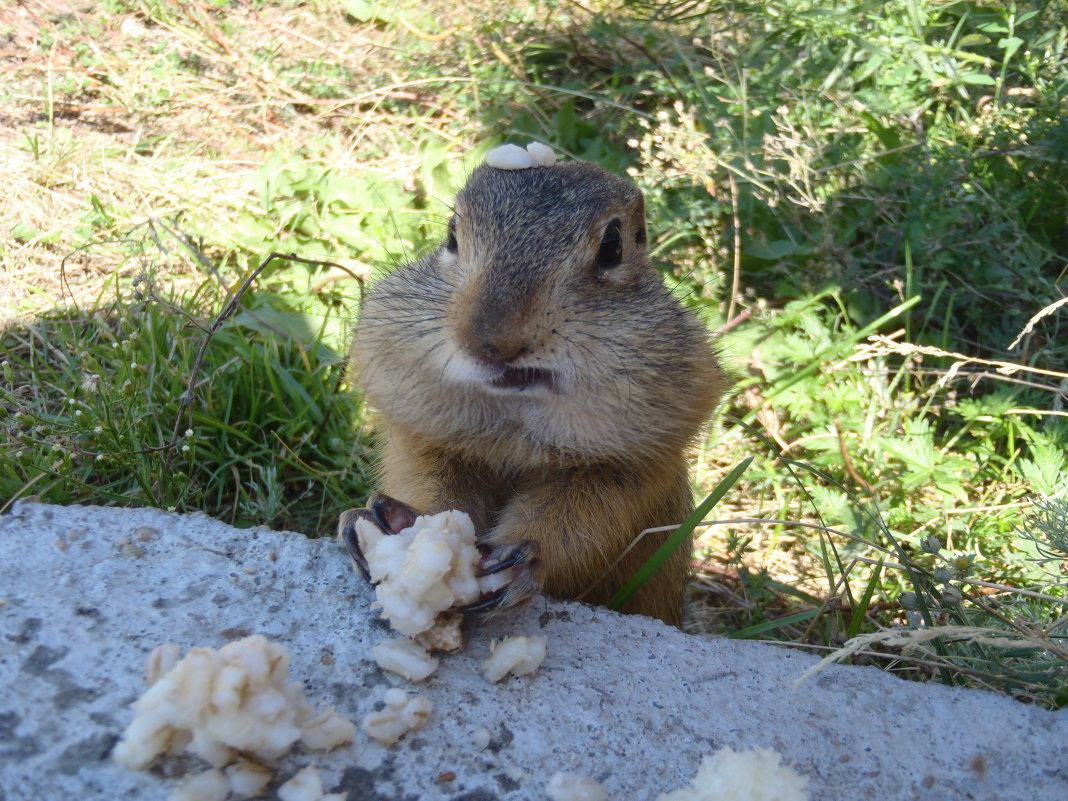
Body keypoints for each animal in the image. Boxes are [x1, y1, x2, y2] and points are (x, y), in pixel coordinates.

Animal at [341, 144, 726, 623]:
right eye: (451, 234)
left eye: (612, 246)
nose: (490, 342)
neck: (515, 413)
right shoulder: (420, 434)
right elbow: (424, 480)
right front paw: (395, 520)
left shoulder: (630, 464)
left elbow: (583, 522)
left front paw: (521, 558)